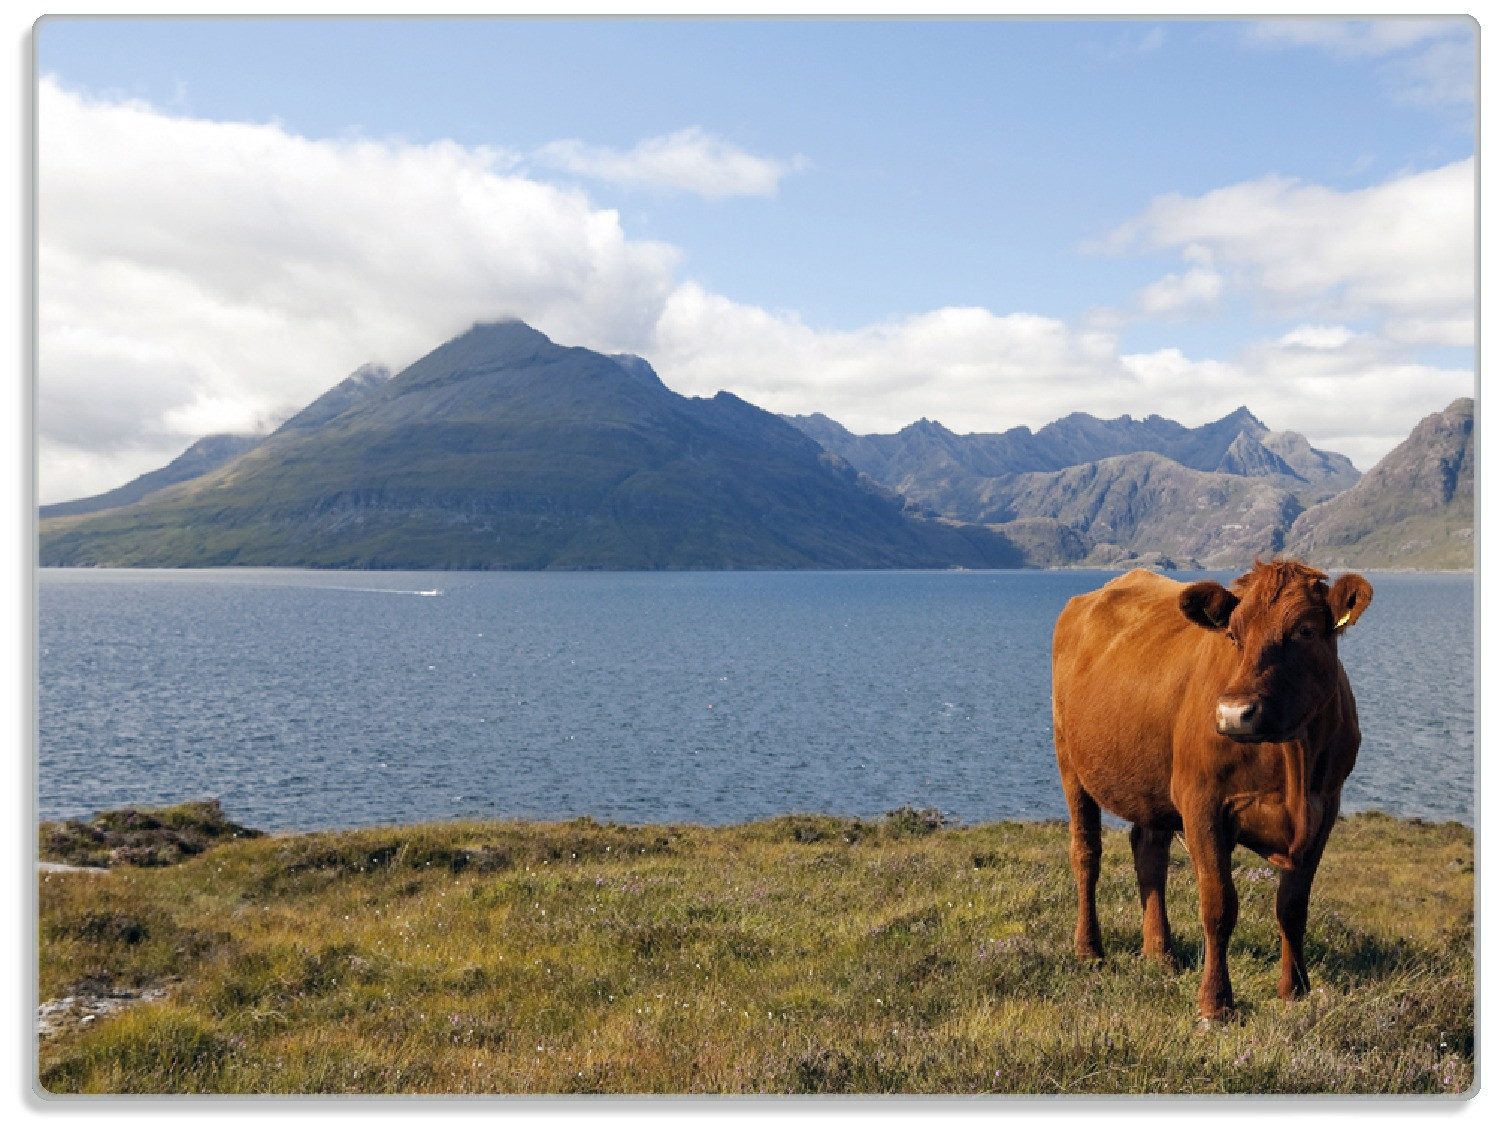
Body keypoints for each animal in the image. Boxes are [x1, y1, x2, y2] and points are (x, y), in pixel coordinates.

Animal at [1050, 557, 1374, 1013]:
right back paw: (1090, 950)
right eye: (1233, 635)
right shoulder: (1202, 801)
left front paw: (1294, 991)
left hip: (1152, 784)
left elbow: (1292, 907)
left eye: (1305, 631)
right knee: (1086, 854)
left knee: (1149, 852)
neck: (1292, 758)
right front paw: (1216, 1003)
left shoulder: (1324, 808)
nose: (1235, 714)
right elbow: (1219, 905)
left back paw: (1160, 953)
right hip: (1071, 764)